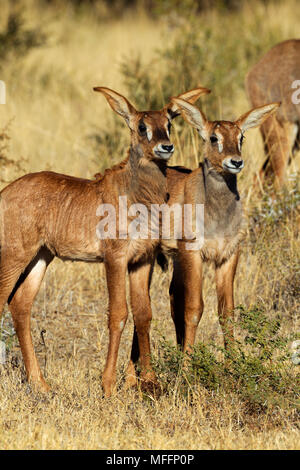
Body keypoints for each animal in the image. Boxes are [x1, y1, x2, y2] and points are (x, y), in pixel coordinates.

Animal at [0, 85, 209, 396]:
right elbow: (118, 313)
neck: (136, 195)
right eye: (142, 126)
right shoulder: (114, 258)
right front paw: (108, 384)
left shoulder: (142, 261)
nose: (166, 147)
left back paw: (40, 383)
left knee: (20, 305)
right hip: (15, 256)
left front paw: (150, 381)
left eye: (169, 123)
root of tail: (4, 193)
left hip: (40, 257)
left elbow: (144, 313)